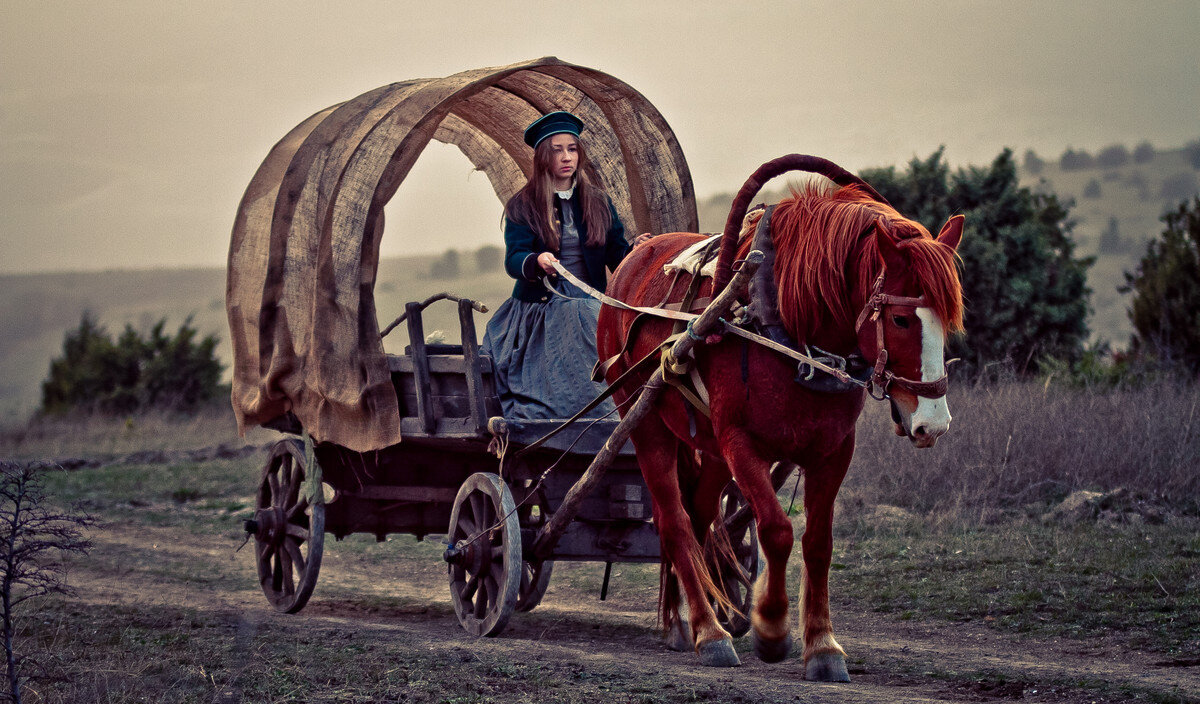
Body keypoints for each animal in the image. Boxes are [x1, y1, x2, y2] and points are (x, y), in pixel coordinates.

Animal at [597, 157, 964, 681]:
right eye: (900, 320)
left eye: (949, 318)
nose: (933, 423)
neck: (789, 330)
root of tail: (635, 257)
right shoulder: (741, 443)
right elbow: (776, 530)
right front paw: (771, 628)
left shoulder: (833, 450)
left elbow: (818, 542)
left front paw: (823, 646)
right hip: (645, 424)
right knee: (674, 521)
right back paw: (709, 632)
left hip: (709, 450)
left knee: (699, 515)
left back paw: (682, 621)